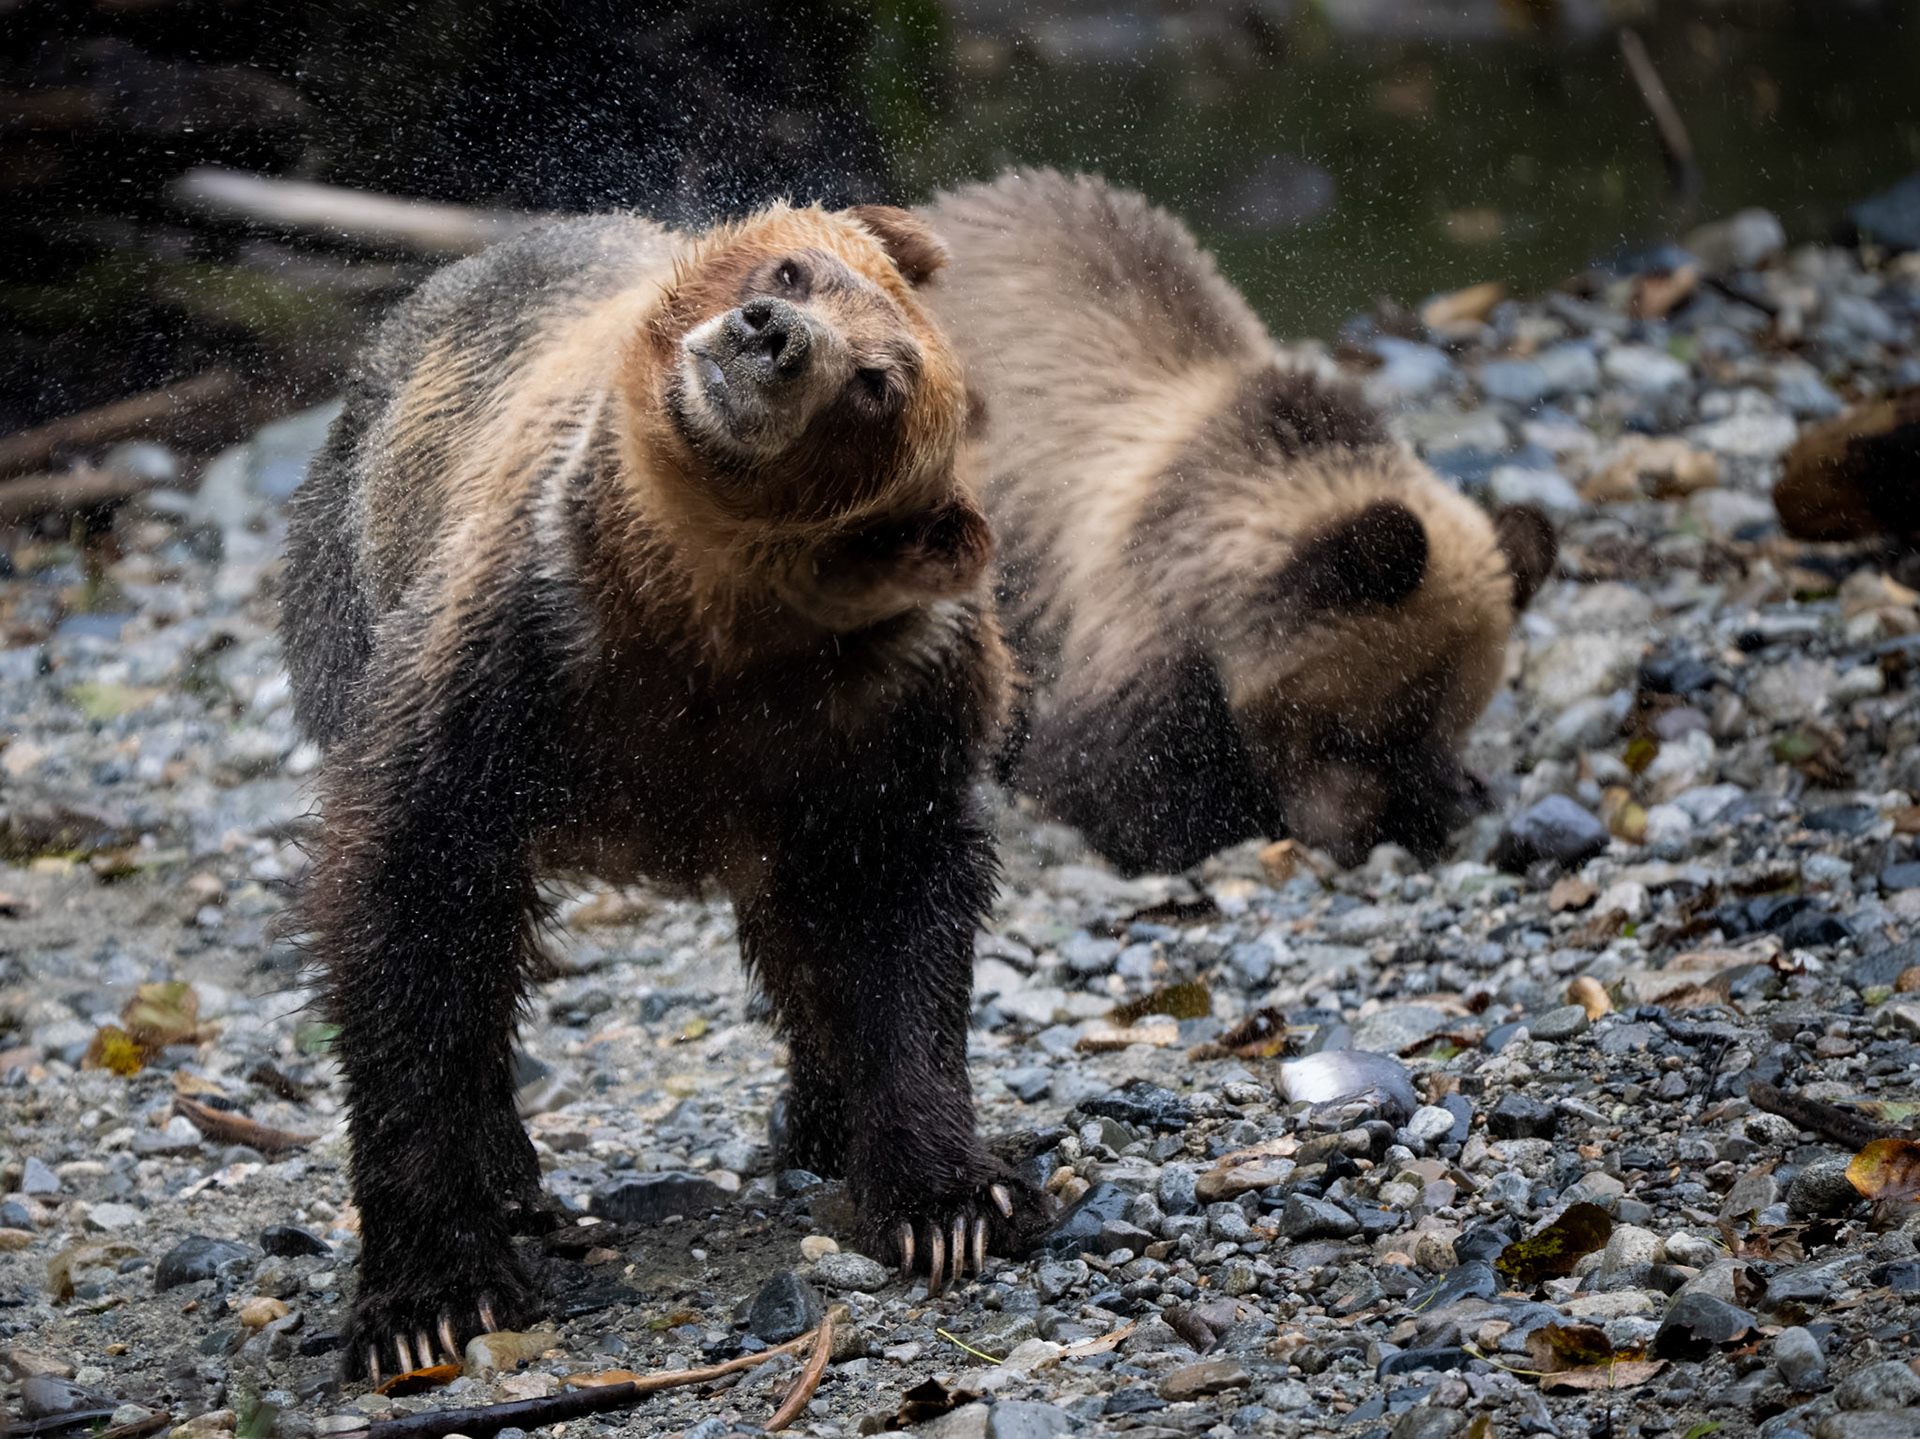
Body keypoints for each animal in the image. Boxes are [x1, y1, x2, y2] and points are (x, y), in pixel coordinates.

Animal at [280, 200, 1049, 1382]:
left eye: (876, 381)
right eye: (795, 269)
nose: (770, 333)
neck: (697, 616)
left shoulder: (885, 711)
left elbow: (898, 915)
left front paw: (951, 1197)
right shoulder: (514, 651)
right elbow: (412, 898)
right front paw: (429, 1295)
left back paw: (821, 1118)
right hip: (354, 572)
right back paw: (512, 1168)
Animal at [919, 170, 1556, 873]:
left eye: (1439, 725)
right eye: (1356, 731)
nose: (1349, 838)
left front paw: (1448, 797)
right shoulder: (1140, 602)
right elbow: (1109, 775)